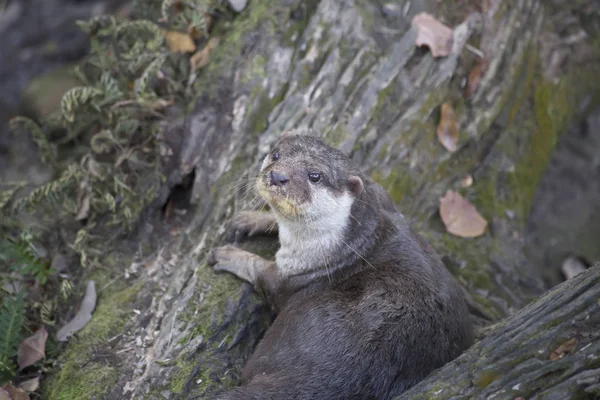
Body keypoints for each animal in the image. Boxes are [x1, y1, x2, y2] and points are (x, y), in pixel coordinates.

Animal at [210, 133, 474, 398]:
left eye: (315, 175)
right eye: (276, 155)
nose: (277, 176)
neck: (347, 245)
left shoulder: (296, 274)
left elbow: (264, 275)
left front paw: (228, 255)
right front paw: (250, 219)